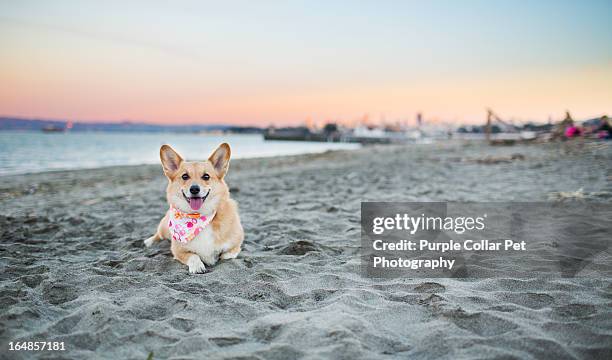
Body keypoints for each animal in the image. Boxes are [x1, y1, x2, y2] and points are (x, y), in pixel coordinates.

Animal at [146, 143, 244, 272]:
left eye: (206, 176)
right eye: (185, 176)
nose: (194, 189)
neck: (198, 216)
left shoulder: (236, 244)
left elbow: (228, 254)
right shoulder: (178, 251)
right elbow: (193, 255)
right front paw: (197, 266)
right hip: (164, 228)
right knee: (158, 234)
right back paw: (149, 241)